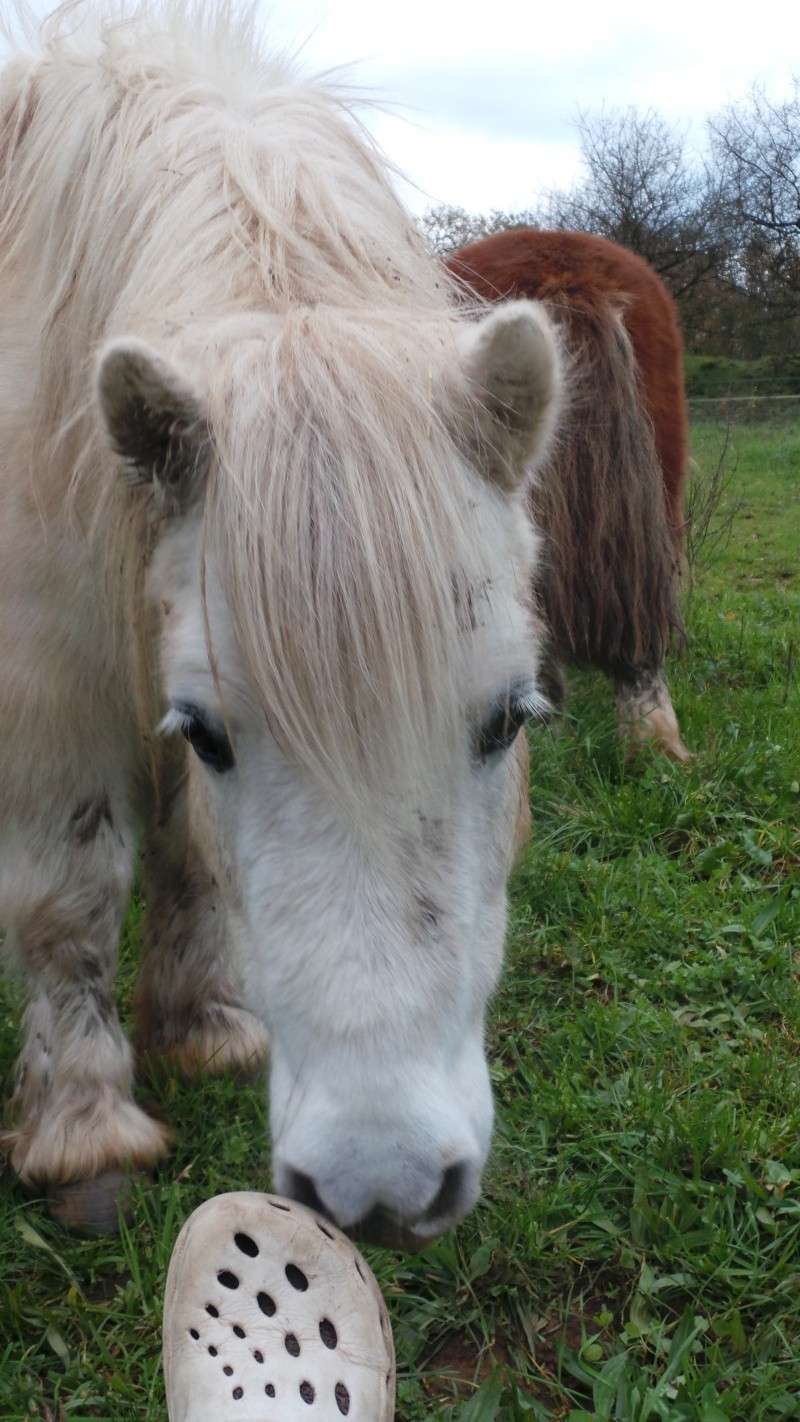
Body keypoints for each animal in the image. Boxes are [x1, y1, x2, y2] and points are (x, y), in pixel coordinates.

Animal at [0, 5, 562, 1239]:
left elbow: (190, 851)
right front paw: (83, 1127)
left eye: (507, 720)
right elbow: (72, 889)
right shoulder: (52, 681)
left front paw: (204, 1022)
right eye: (214, 735)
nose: (381, 1185)